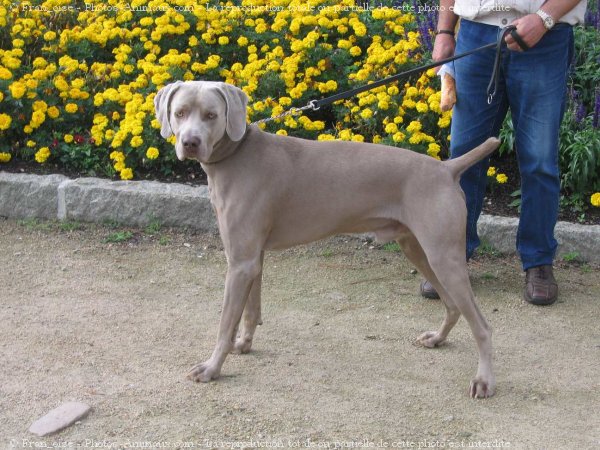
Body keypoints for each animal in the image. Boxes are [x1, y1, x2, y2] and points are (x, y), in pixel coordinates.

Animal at [155, 80, 502, 398]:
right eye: (180, 113)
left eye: (211, 115)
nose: (190, 142)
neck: (237, 153)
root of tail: (447, 169)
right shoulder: (252, 257)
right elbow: (251, 310)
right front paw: (244, 344)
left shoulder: (239, 262)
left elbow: (225, 324)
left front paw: (211, 368)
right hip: (417, 248)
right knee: (453, 305)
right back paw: (437, 339)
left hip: (443, 255)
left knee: (483, 326)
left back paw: (483, 381)